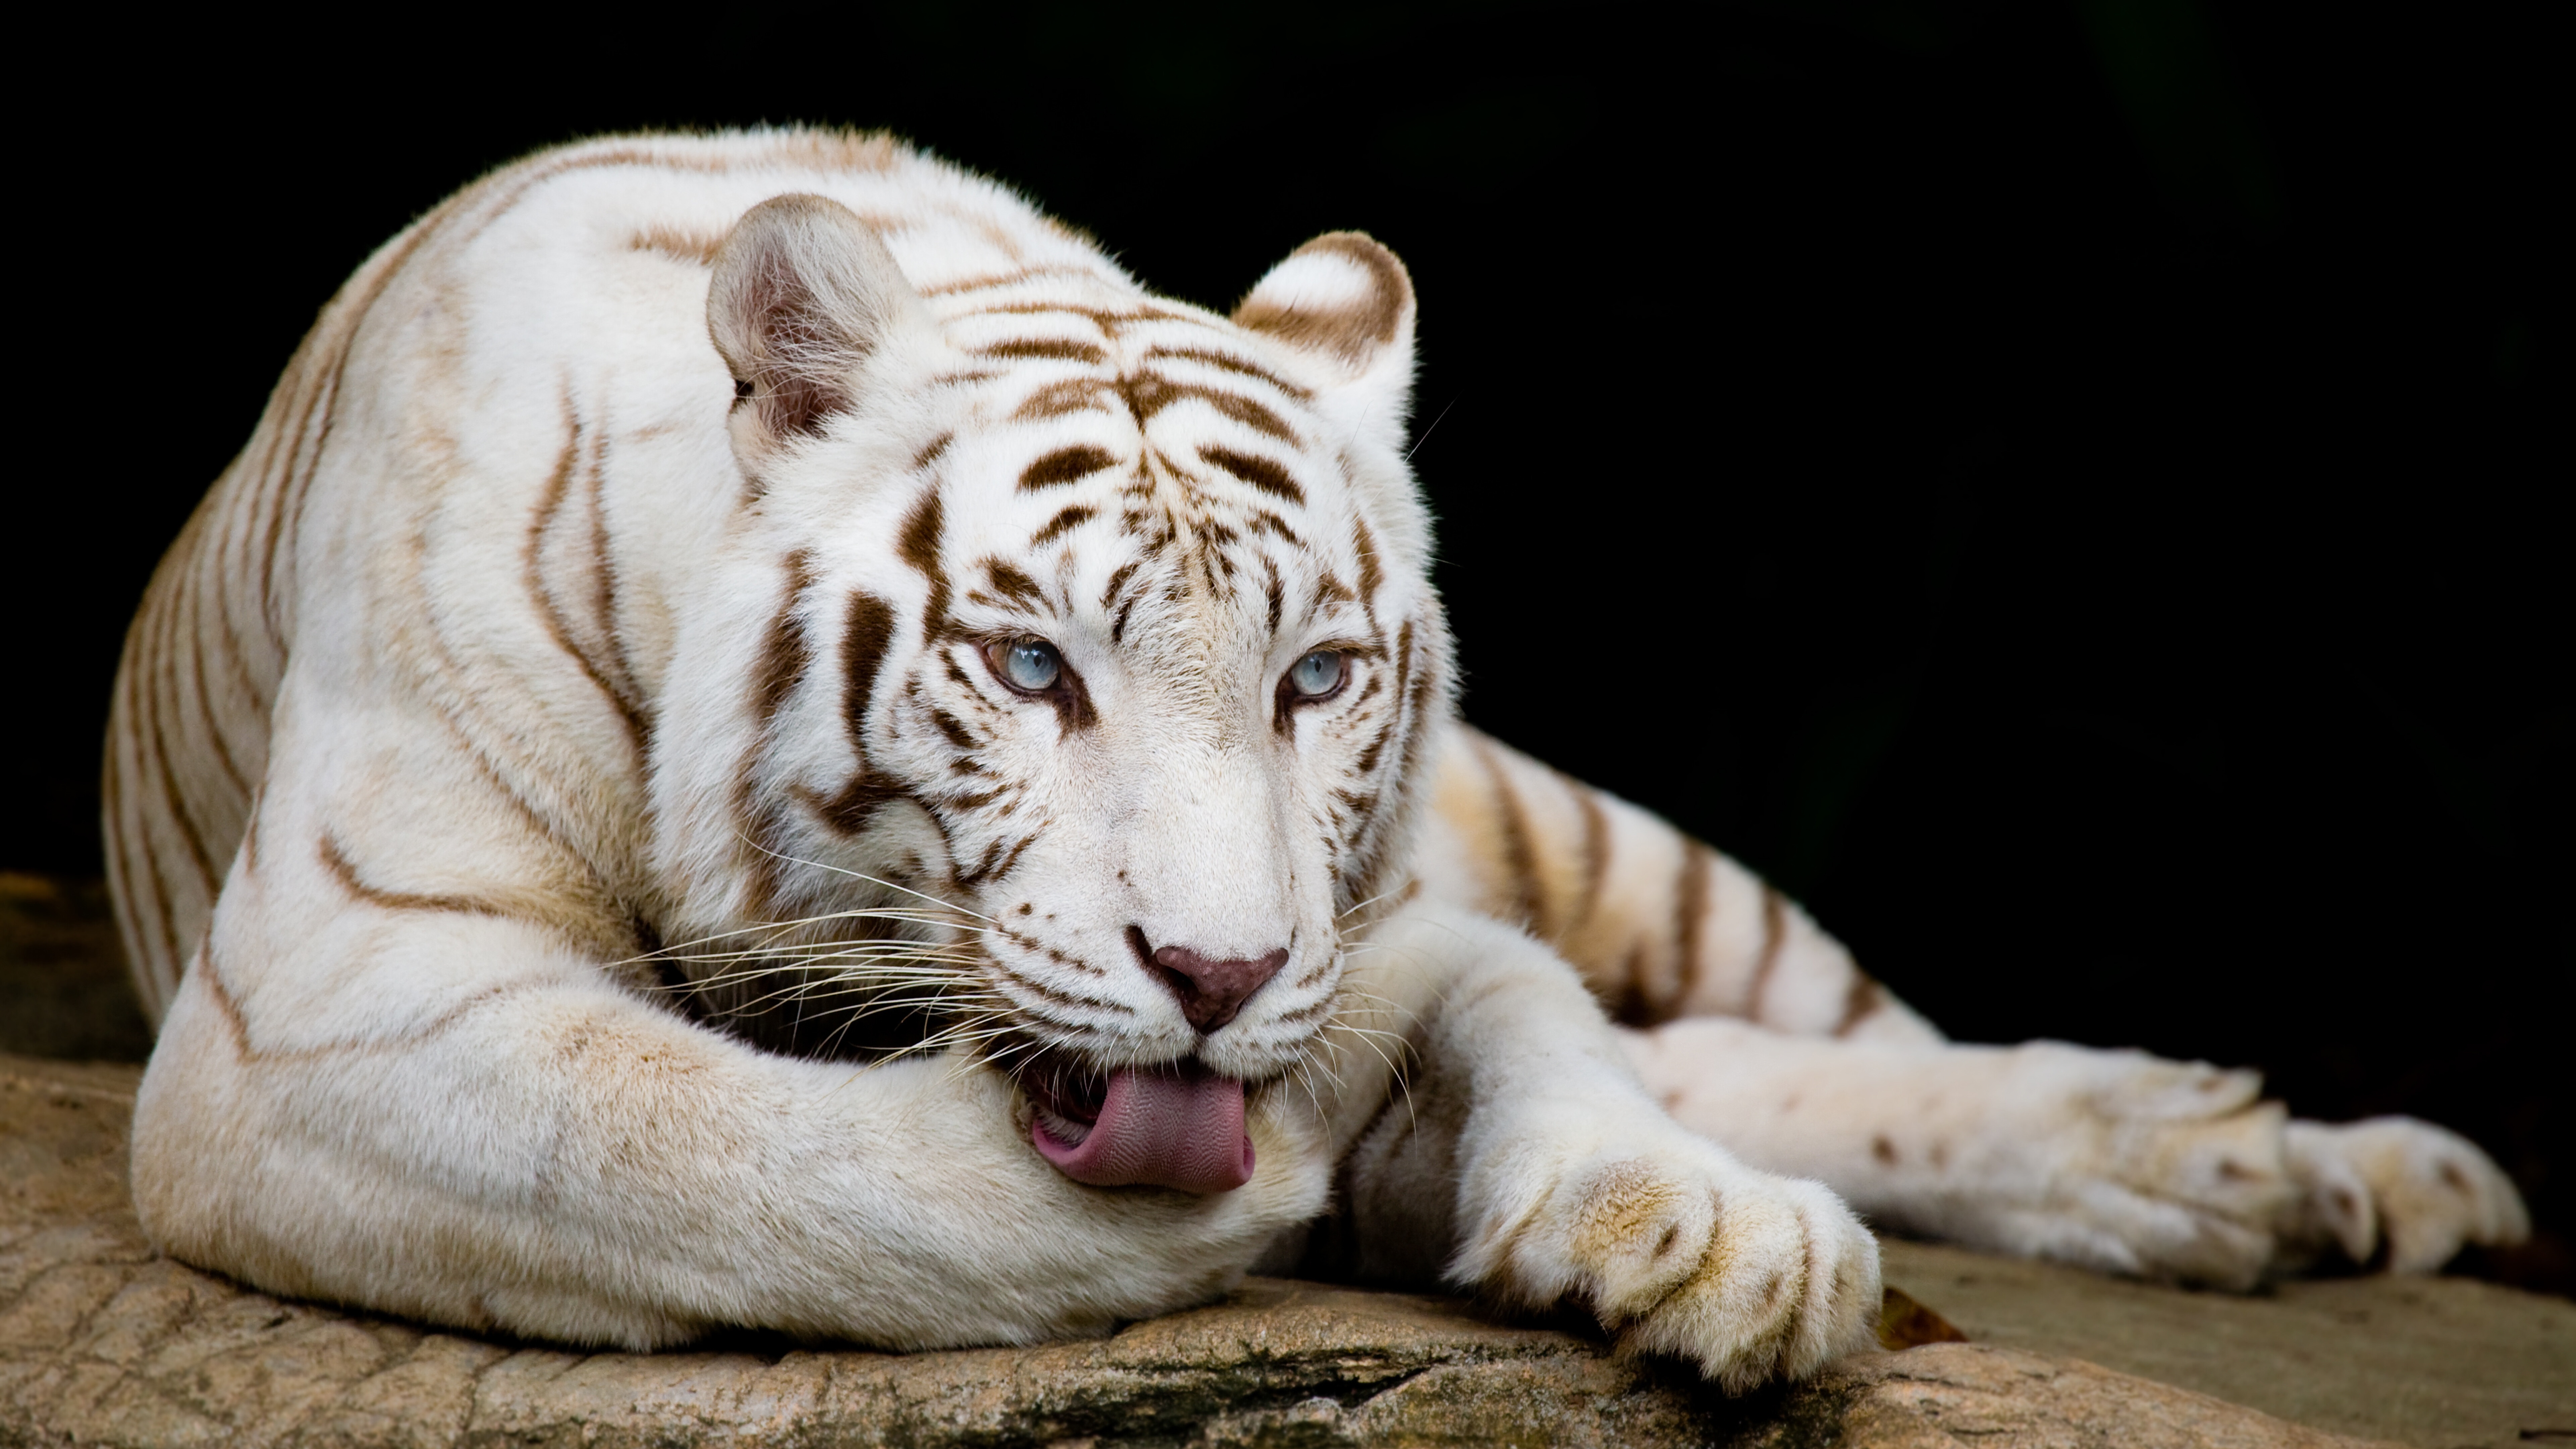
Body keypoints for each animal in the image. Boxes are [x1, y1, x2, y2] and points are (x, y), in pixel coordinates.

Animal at [111, 127, 2524, 1372]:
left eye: (1315, 682)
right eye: (1030, 670)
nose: (1219, 977)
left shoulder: (1407, 919)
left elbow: (1541, 1022)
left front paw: (1710, 1234)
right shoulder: (332, 1008)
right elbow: (733, 1165)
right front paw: (1262, 1194)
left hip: (1594, 840)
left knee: (1806, 1032)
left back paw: (2286, 1167)